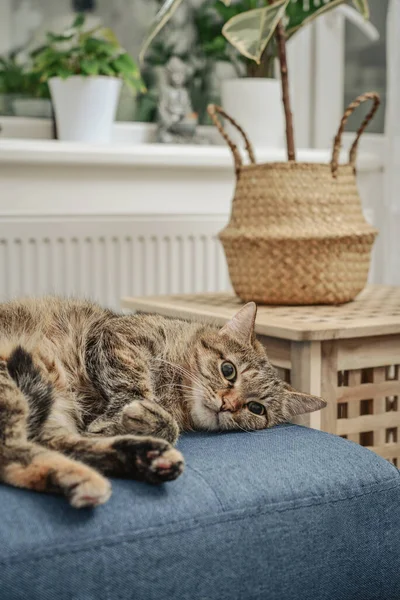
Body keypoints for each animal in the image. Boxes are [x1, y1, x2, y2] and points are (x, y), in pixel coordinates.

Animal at [0, 296, 324, 506]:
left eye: (257, 408)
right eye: (228, 370)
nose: (227, 405)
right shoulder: (116, 338)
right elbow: (133, 386)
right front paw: (129, 413)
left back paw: (136, 461)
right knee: (13, 449)